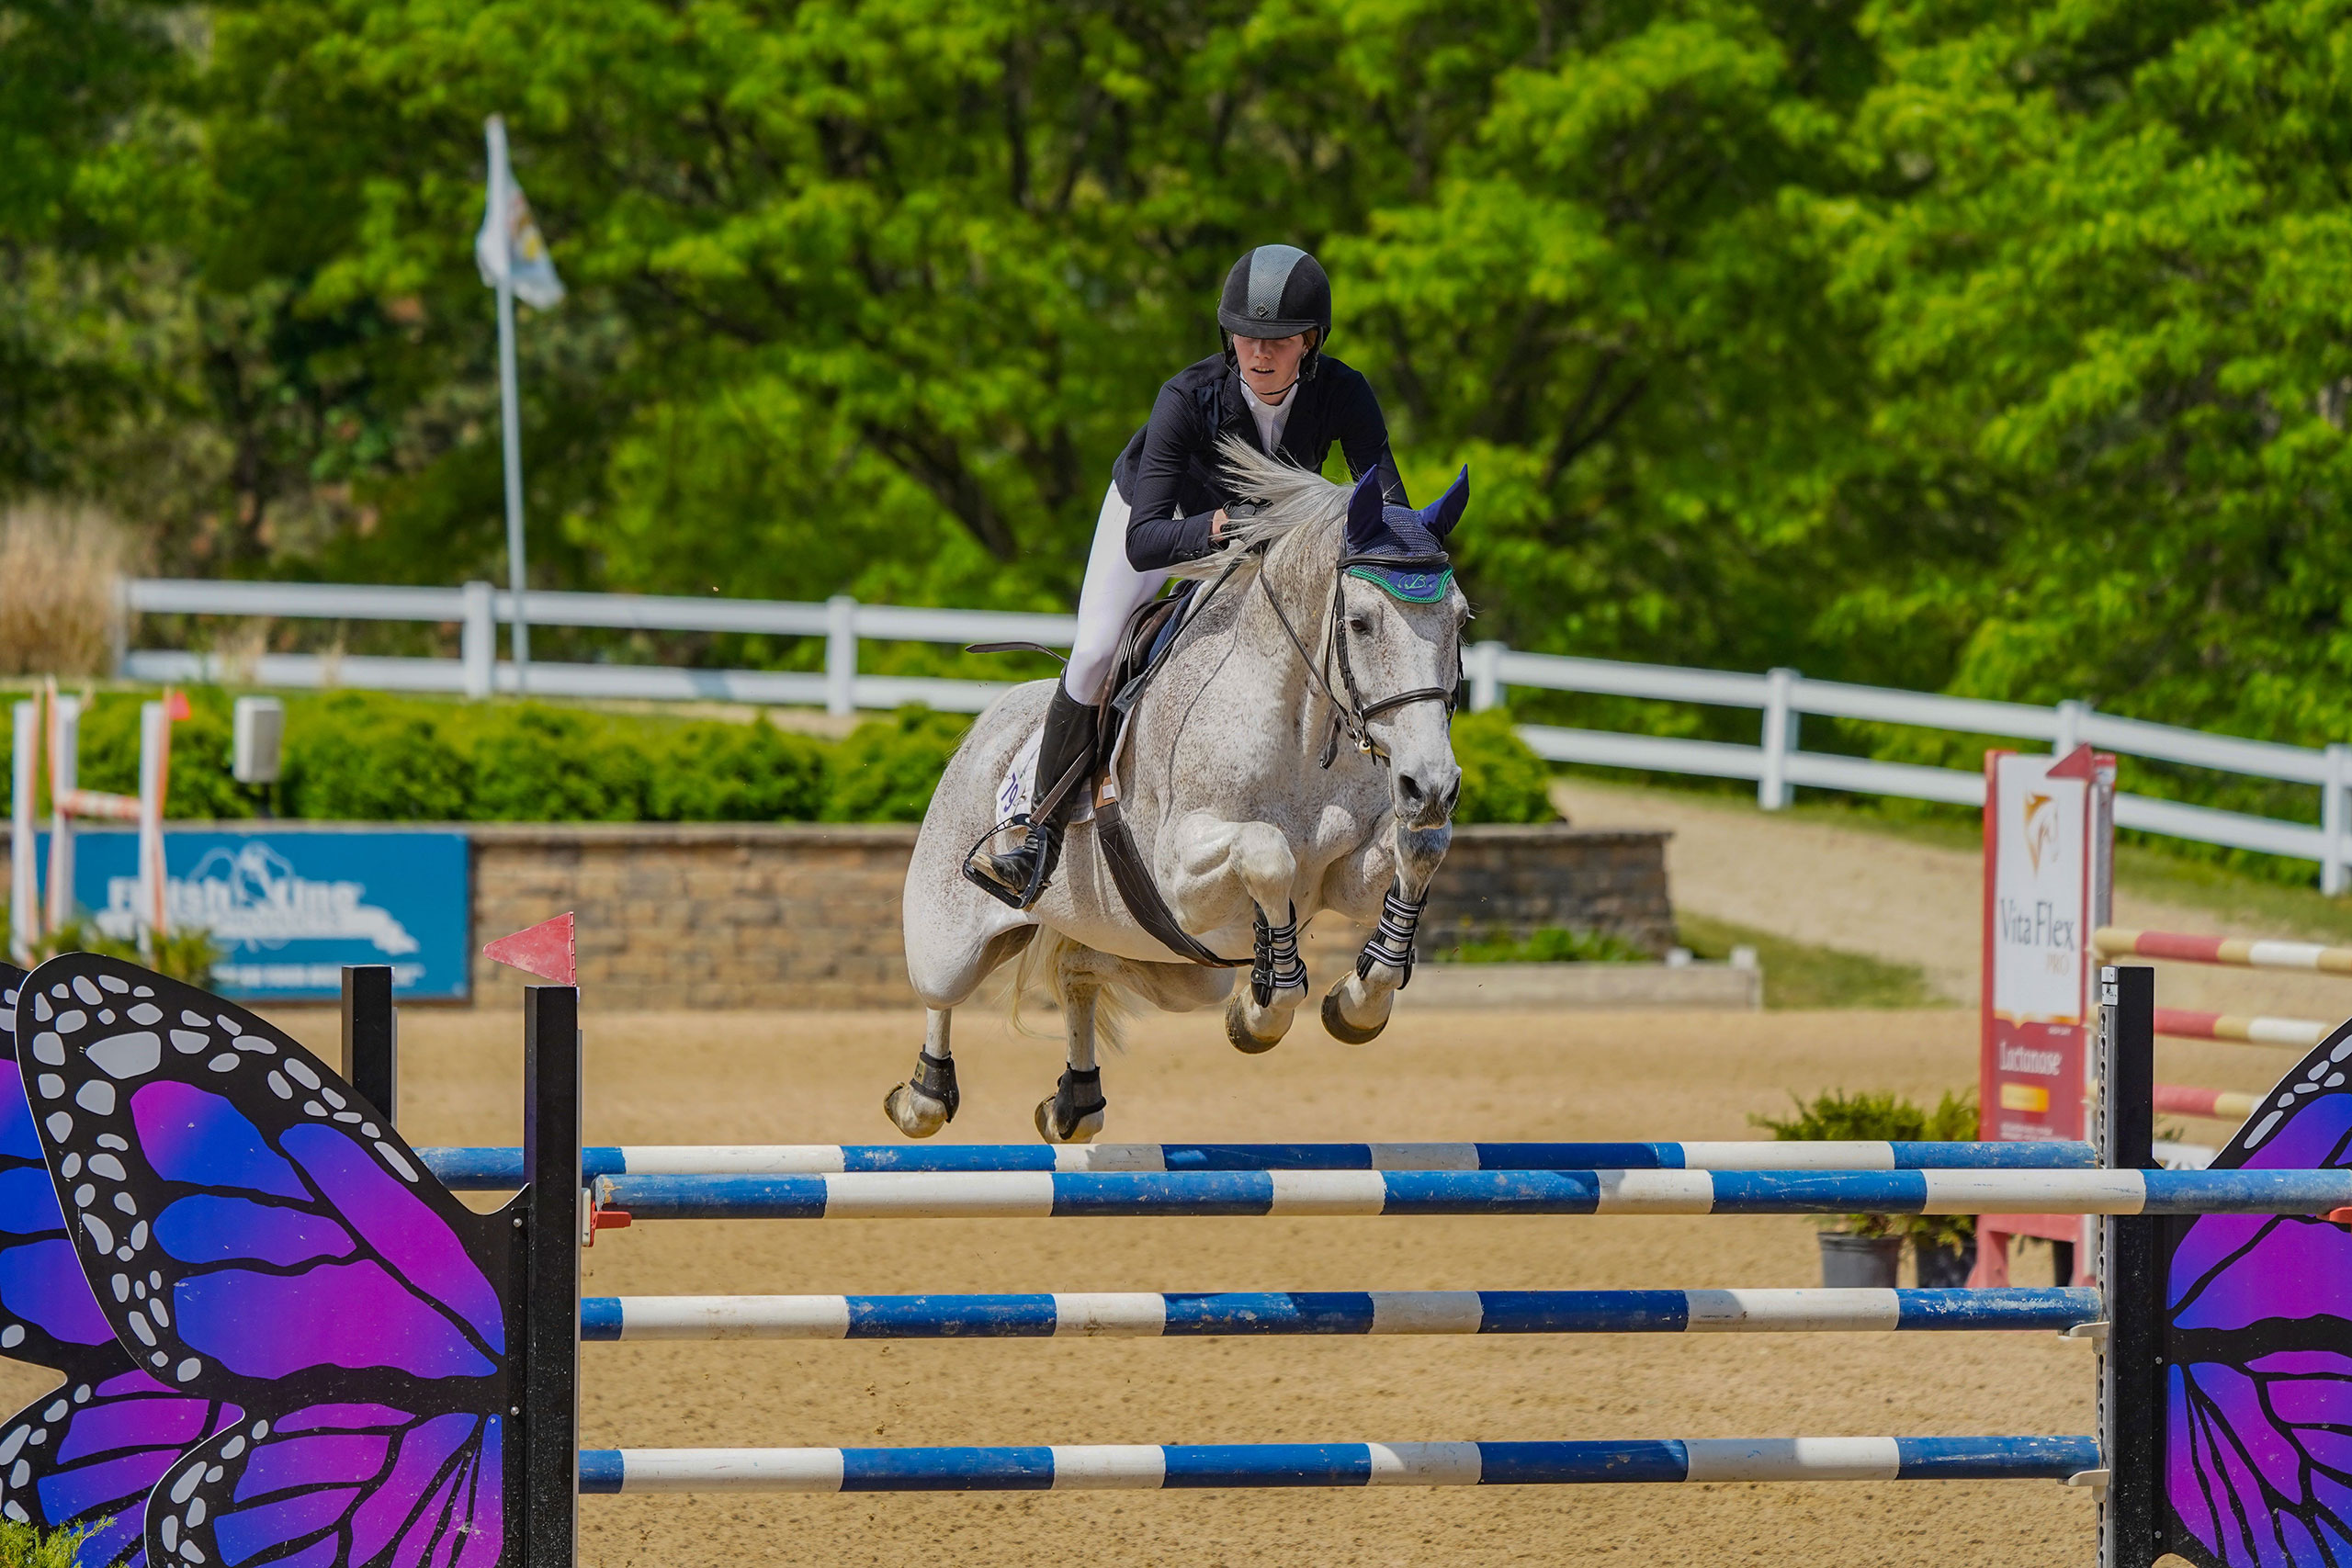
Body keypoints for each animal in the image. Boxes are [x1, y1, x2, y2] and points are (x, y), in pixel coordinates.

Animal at [884, 442, 1467, 1142]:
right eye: (1360, 622)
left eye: (1461, 618)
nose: (1430, 785)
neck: (1303, 735)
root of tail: (987, 725)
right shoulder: (1179, 875)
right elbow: (1269, 852)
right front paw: (1266, 1010)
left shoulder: (1343, 878)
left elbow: (1420, 848)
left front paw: (1350, 1002)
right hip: (948, 939)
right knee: (939, 996)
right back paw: (923, 1096)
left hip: (1177, 967)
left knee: (1083, 969)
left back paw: (1074, 1103)